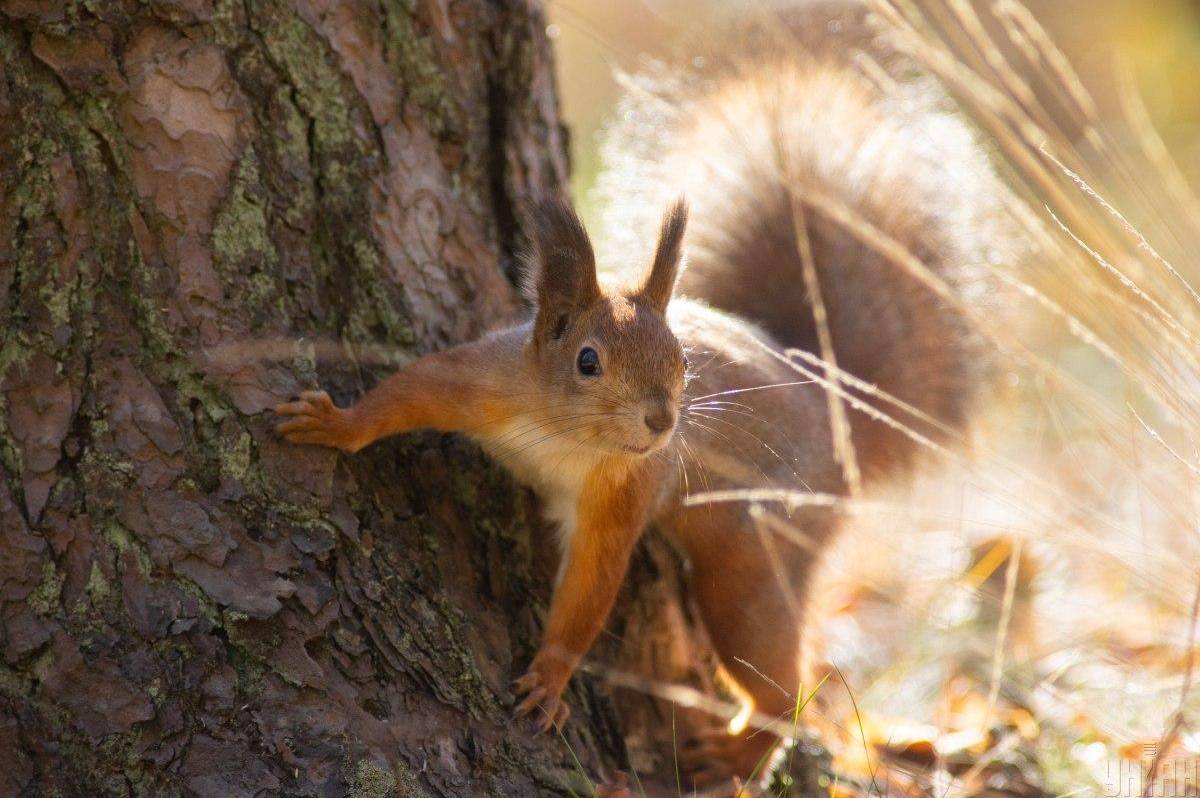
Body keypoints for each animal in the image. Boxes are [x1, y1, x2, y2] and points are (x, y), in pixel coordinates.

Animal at [276, 3, 1017, 782]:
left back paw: (734, 757)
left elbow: (591, 586)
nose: (662, 421)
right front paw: (336, 424)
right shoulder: (485, 383)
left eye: (684, 362)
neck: (564, 437)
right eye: (587, 361)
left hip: (754, 558)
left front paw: (550, 679)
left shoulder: (627, 490)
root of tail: (836, 415)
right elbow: (410, 389)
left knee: (783, 686)